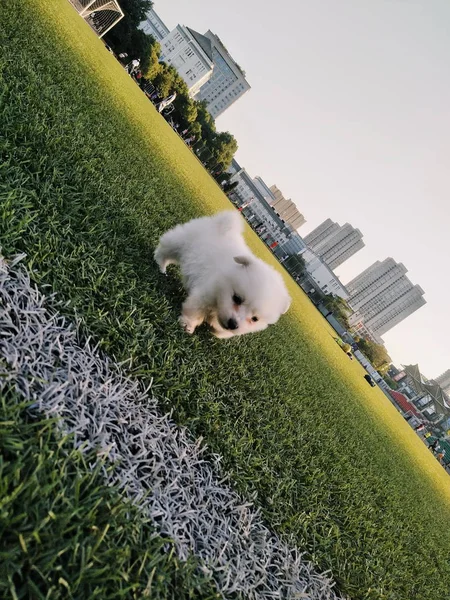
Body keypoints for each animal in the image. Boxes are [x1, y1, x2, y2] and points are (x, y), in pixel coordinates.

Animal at [153, 211, 290, 338]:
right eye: (237, 298)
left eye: (255, 319)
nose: (233, 324)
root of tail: (223, 225)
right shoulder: (205, 295)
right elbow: (194, 311)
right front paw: (187, 326)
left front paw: (217, 332)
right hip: (181, 241)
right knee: (166, 248)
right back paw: (161, 266)